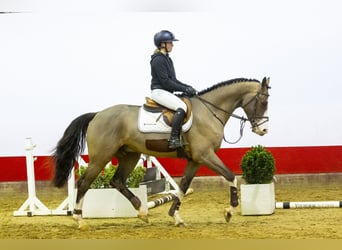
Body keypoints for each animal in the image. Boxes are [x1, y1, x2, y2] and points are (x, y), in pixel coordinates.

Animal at [51, 76, 270, 229]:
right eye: (264, 102)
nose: (263, 130)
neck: (209, 112)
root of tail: (97, 115)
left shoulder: (195, 160)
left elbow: (183, 187)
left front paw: (176, 217)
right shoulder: (205, 155)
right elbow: (231, 176)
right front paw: (229, 211)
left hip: (130, 155)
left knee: (117, 181)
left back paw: (142, 212)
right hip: (100, 157)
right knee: (84, 183)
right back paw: (79, 220)